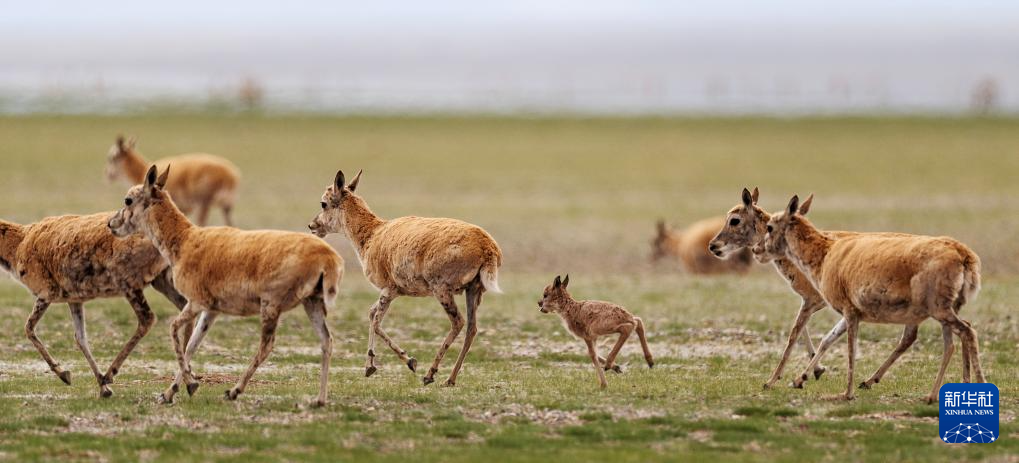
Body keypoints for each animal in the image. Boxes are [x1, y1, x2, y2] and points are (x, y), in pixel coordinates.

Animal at [0, 213, 187, 398]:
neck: (19, 243)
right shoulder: (74, 300)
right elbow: (80, 339)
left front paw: (64, 374)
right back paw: (181, 385)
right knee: (186, 313)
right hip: (162, 280)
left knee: (148, 318)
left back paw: (111, 374)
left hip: (130, 284)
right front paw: (103, 389)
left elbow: (28, 329)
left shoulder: (46, 293)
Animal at [105, 135, 241, 226]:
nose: (107, 175)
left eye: (111, 157)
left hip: (203, 204)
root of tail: (231, 175)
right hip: (226, 207)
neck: (142, 170)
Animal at [109, 165, 343, 406]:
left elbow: (174, 329)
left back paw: (234, 391)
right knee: (326, 341)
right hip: (312, 303)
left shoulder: (196, 302)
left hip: (271, 306)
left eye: (128, 200)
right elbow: (192, 345)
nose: (111, 224)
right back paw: (319, 400)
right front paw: (169, 393)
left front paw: (190, 386)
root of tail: (328, 256)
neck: (186, 239)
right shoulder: (211, 311)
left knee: (267, 345)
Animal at [308, 169, 502, 387]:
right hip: (473, 291)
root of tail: (487, 246)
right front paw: (370, 367)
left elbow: (376, 321)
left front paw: (407, 362)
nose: (312, 225)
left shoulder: (389, 290)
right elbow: (371, 314)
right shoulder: (393, 292)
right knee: (472, 328)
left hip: (442, 290)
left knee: (458, 322)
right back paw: (449, 379)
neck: (373, 235)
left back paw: (430, 374)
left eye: (323, 203)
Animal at [759, 194, 983, 402]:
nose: (757, 250)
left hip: (939, 309)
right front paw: (798, 379)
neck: (825, 254)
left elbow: (851, 349)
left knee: (966, 332)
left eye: (769, 227)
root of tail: (964, 253)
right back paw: (937, 393)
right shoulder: (852, 313)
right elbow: (827, 339)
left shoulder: (849, 311)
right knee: (952, 340)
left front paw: (846, 394)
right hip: (946, 310)